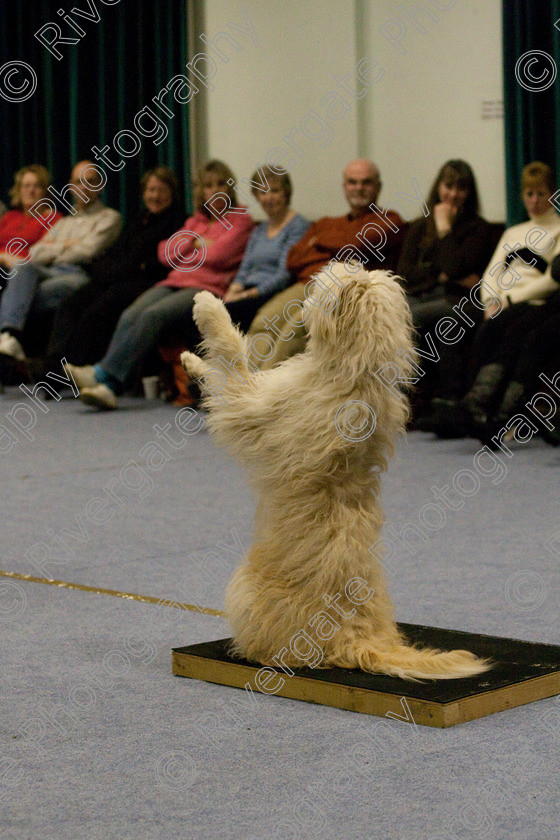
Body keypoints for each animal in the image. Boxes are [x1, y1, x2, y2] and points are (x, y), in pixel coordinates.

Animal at [182, 266, 488, 680]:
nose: (348, 263)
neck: (356, 375)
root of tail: (357, 641)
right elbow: (229, 369)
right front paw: (190, 360)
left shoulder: (247, 407)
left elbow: (232, 356)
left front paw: (207, 306)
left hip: (244, 586)